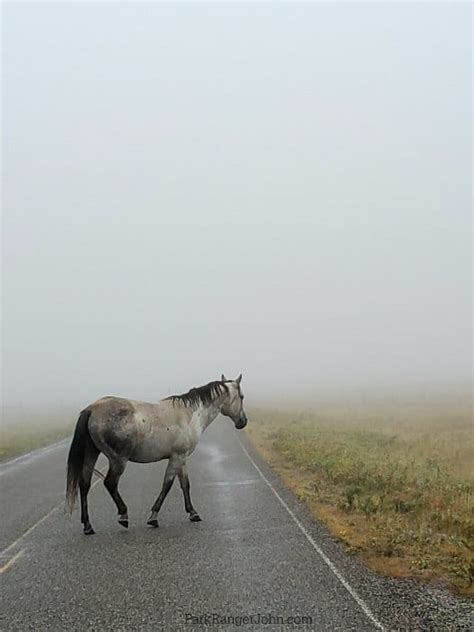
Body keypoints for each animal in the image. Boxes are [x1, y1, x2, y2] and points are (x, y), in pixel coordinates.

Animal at [66, 372, 248, 536]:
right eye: (242, 396)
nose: (243, 422)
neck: (190, 413)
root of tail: (92, 409)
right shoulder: (176, 457)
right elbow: (167, 485)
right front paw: (153, 517)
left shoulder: (181, 458)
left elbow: (185, 484)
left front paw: (193, 513)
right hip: (118, 460)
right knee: (110, 483)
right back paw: (123, 516)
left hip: (91, 454)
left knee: (84, 485)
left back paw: (88, 526)